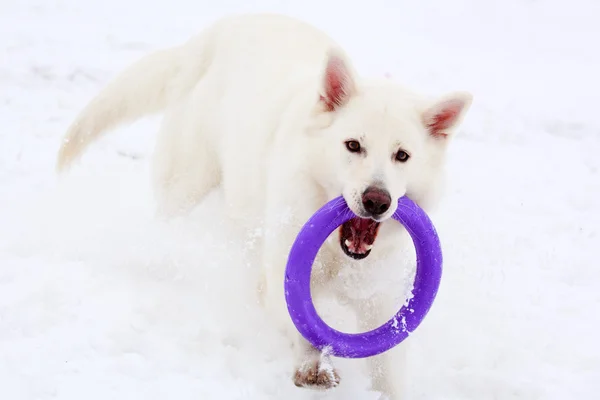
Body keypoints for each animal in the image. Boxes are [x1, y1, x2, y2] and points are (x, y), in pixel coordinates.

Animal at [55, 13, 468, 400]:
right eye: (353, 145)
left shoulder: (382, 306)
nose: (377, 200)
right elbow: (305, 331)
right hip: (186, 185)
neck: (337, 254)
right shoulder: (282, 283)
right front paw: (313, 366)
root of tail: (218, 31)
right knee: (166, 226)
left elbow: (389, 372)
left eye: (402, 156)